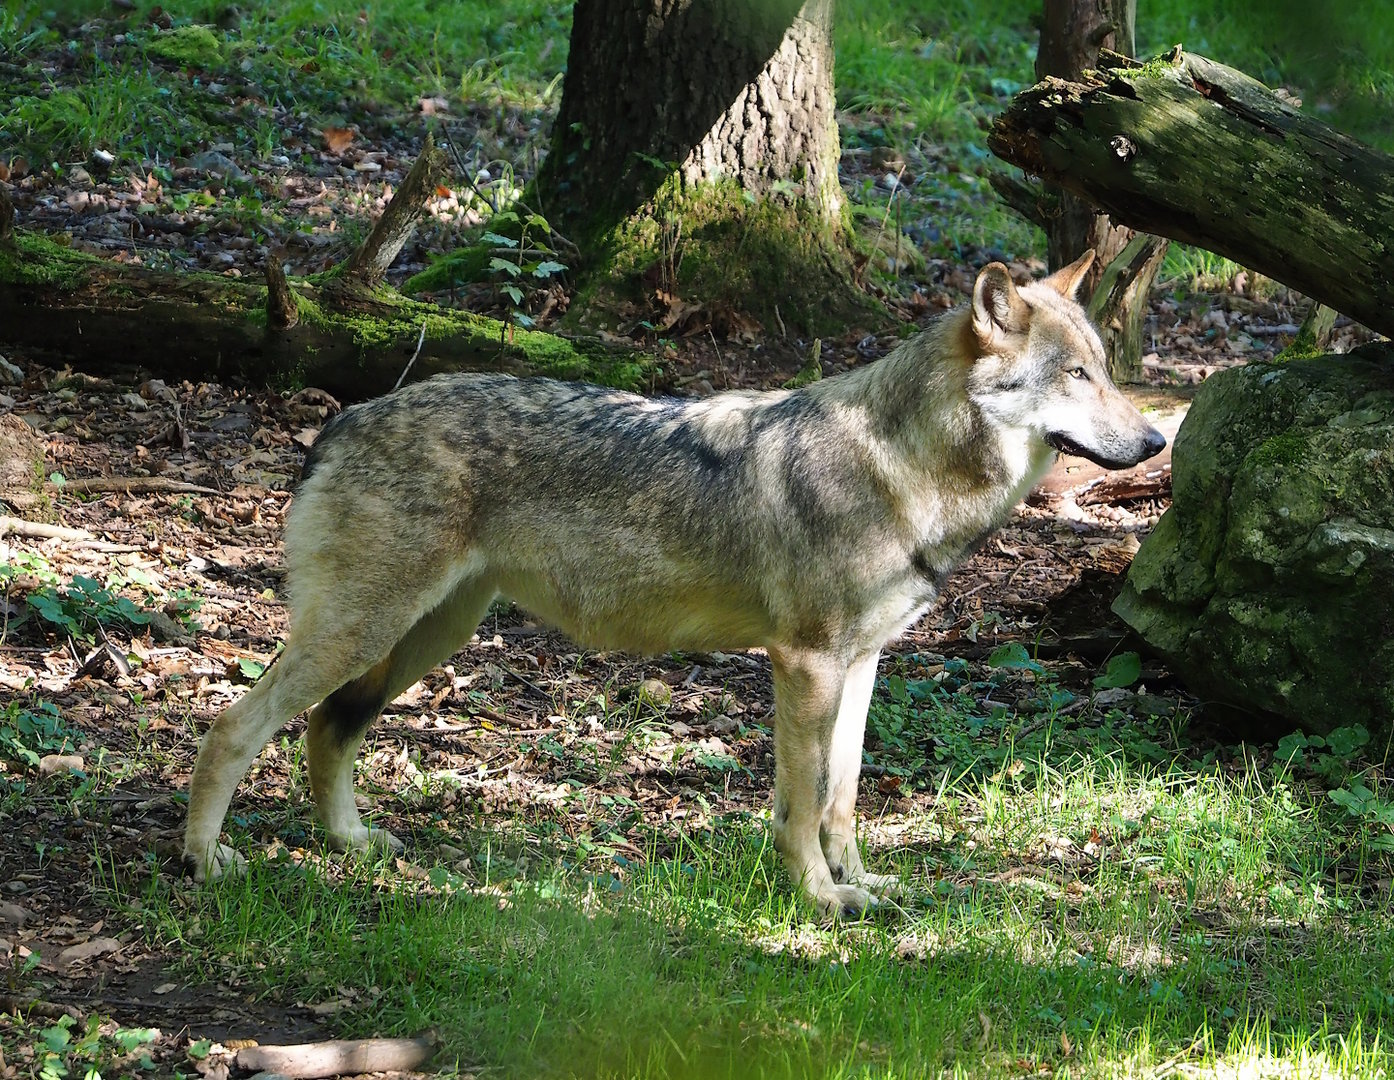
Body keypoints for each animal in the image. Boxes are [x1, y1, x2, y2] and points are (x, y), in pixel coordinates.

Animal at [182, 251, 1165, 917]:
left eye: (1108, 371)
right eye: (1076, 375)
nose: (1157, 442)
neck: (902, 469)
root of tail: (343, 417)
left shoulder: (862, 666)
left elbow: (842, 799)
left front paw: (862, 887)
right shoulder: (804, 664)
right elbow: (801, 806)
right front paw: (818, 902)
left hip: (419, 638)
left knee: (325, 728)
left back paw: (348, 844)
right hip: (367, 631)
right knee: (233, 724)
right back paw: (203, 862)